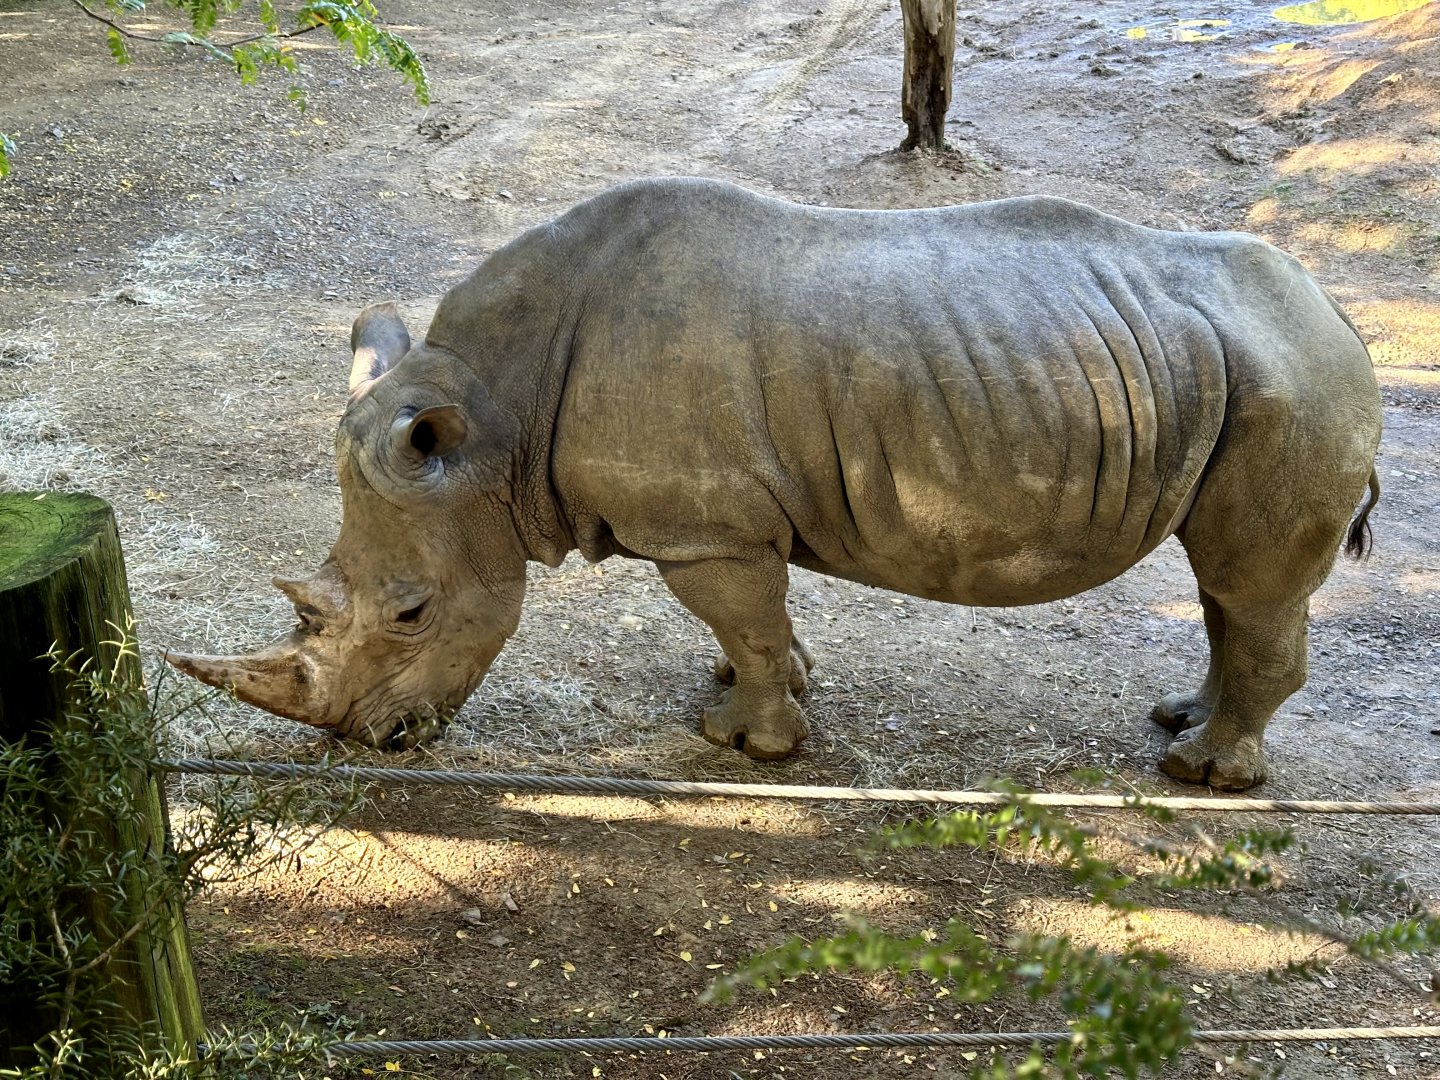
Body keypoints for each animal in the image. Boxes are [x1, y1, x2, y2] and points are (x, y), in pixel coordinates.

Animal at [169, 178, 1382, 791]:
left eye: (413, 613)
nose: (376, 744)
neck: (492, 418)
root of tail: (1339, 315)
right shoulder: (732, 523)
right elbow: (760, 623)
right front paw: (773, 690)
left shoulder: (699, 527)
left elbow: (741, 620)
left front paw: (743, 746)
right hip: (1248, 381)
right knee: (1229, 586)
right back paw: (1181, 722)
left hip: (1293, 389)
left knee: (1251, 585)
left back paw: (1204, 775)